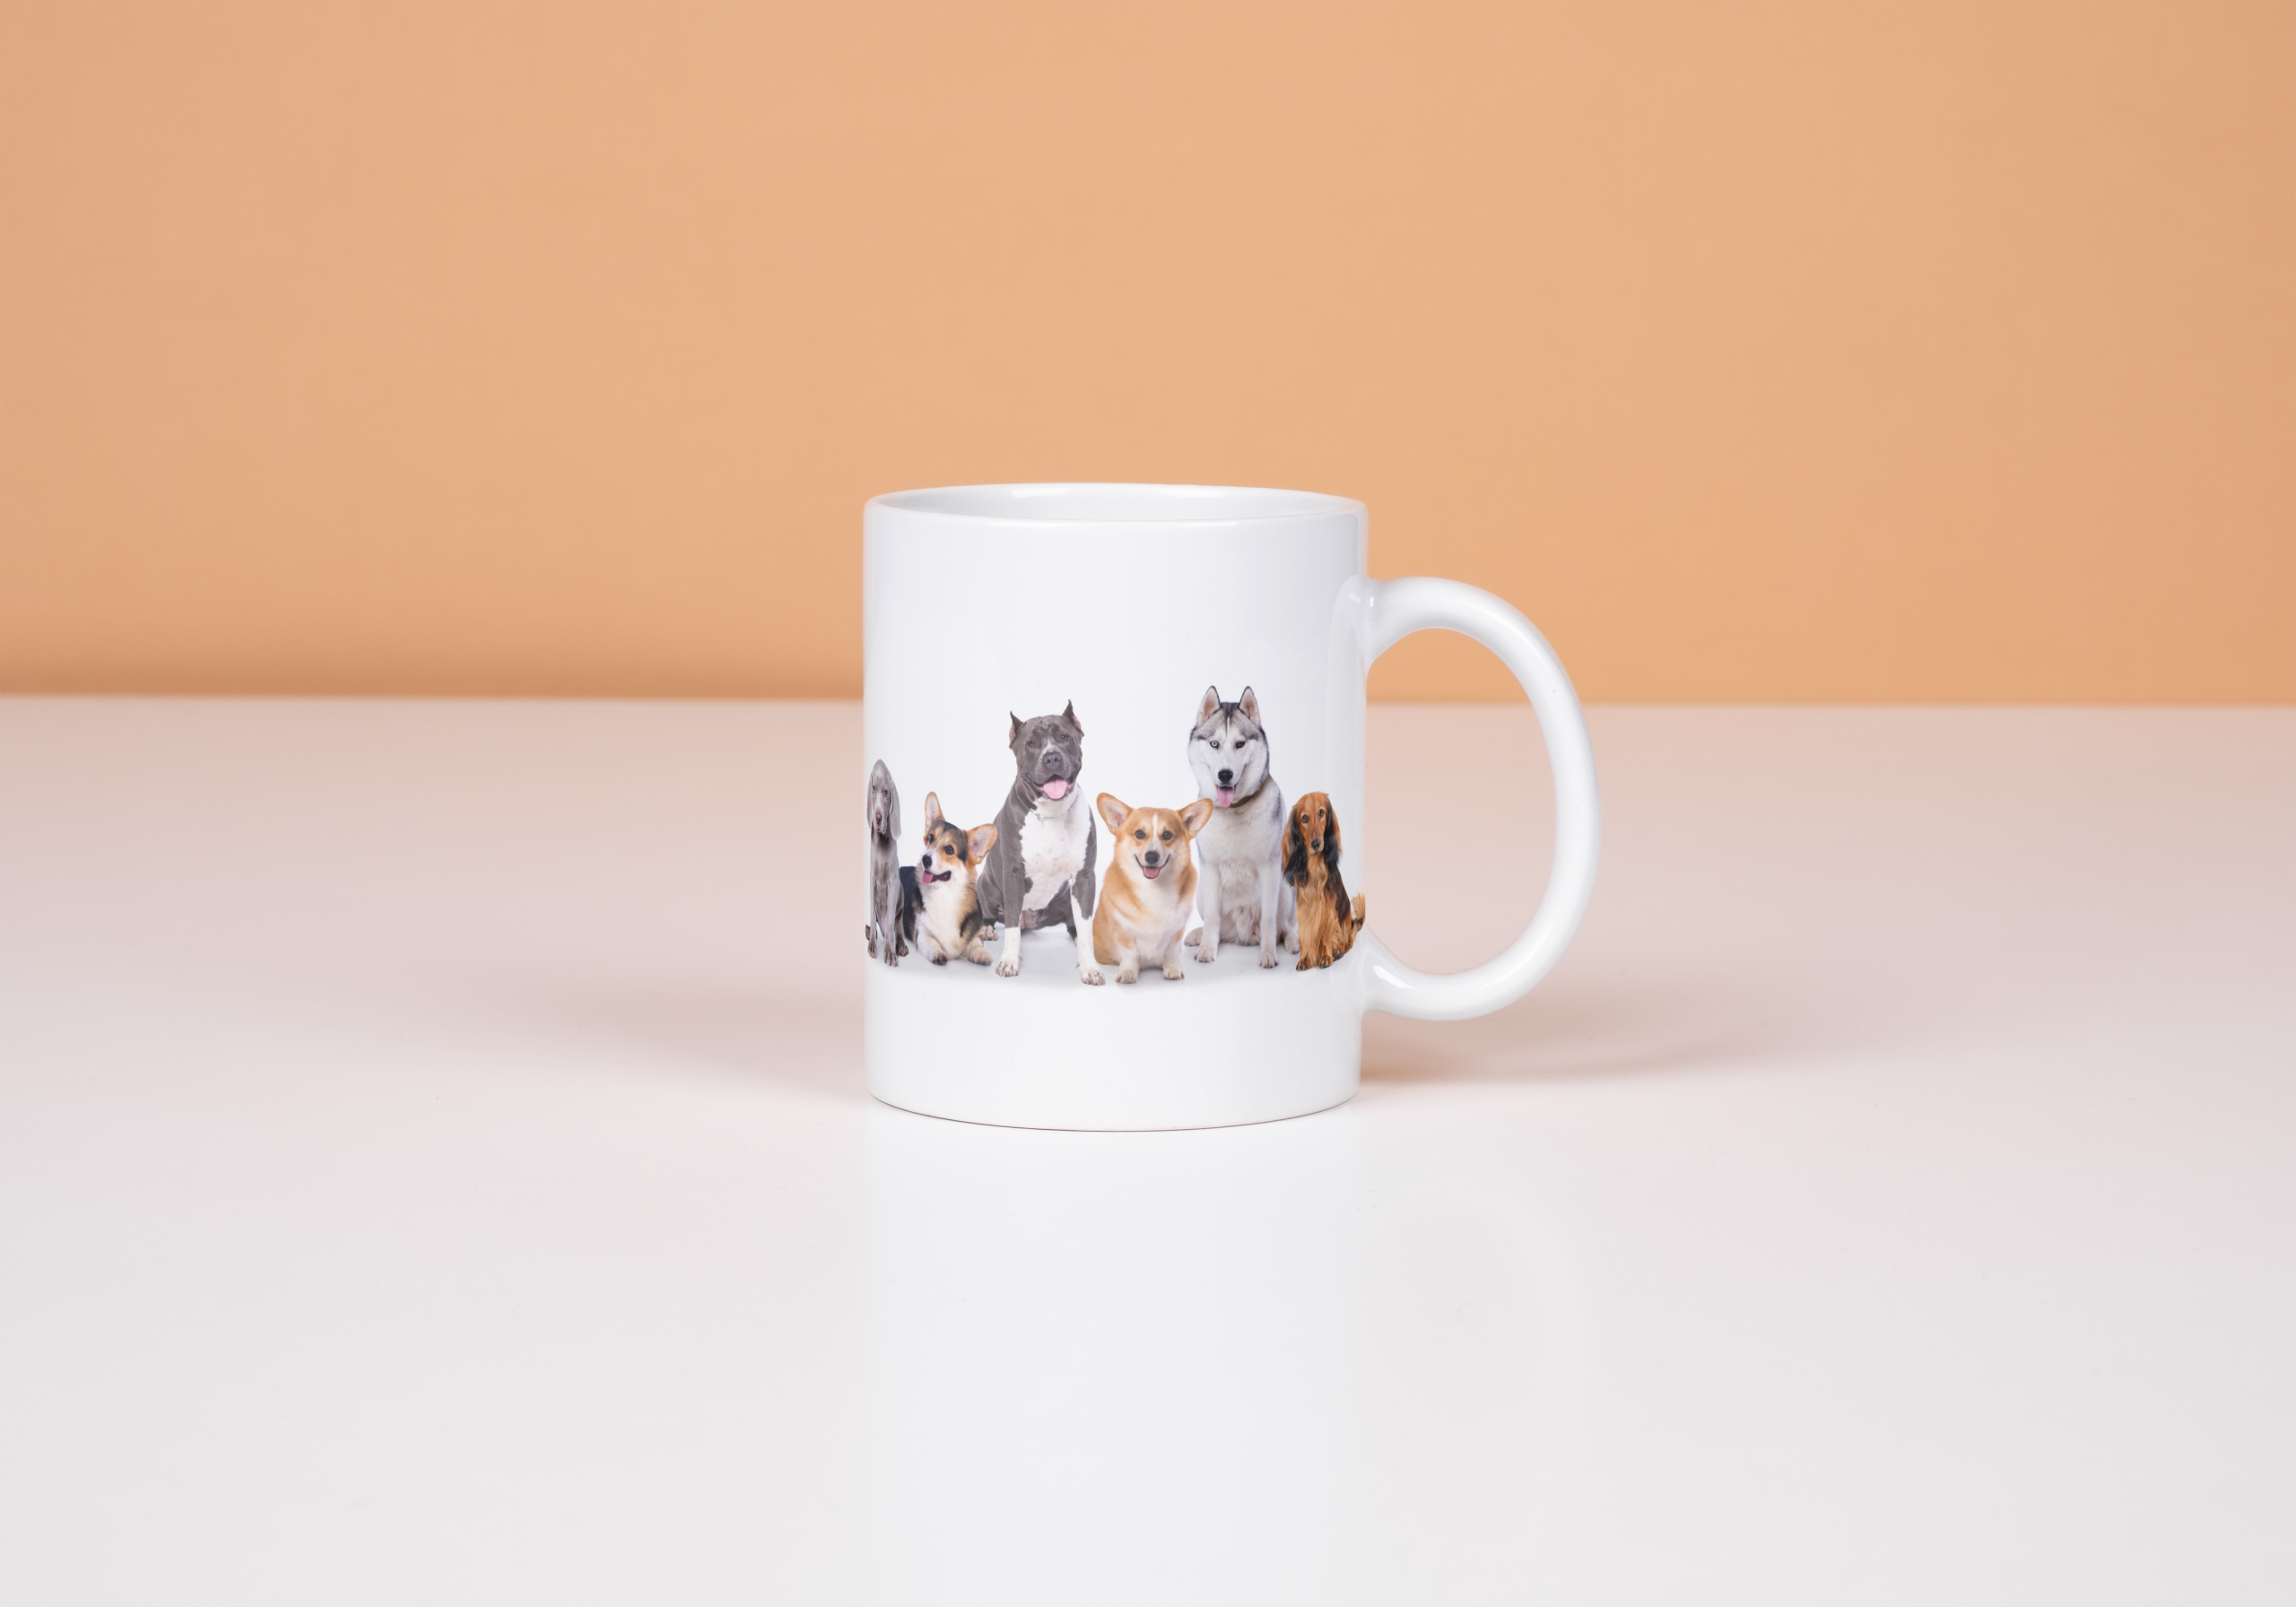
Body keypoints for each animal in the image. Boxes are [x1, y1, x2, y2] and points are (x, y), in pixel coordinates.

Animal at [913, 793, 998, 966]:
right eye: (931, 837)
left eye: (949, 849)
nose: (925, 859)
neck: (944, 895)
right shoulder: (920, 933)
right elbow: (931, 941)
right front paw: (938, 952)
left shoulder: (975, 935)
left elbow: (976, 943)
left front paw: (982, 954)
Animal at [979, 703, 1103, 985]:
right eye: (1032, 743)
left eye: (1064, 737)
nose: (1052, 757)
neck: (1050, 813)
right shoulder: (1013, 874)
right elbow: (1011, 926)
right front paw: (1009, 961)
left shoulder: (1084, 877)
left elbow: (1086, 926)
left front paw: (1090, 966)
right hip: (987, 889)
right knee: (992, 915)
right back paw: (987, 929)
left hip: (1066, 902)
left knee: (1074, 925)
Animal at [1093, 794, 1215, 982]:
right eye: (1139, 833)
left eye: (1167, 834)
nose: (1152, 856)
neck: (1154, 889)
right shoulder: (1123, 931)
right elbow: (1131, 953)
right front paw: (1128, 972)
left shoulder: (1177, 932)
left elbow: (1171, 952)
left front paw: (1172, 969)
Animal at [1184, 685, 1296, 967]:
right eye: (1214, 744)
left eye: (1240, 744)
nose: (1225, 775)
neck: (1233, 810)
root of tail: (1242, 936)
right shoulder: (1210, 869)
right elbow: (1213, 917)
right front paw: (1207, 949)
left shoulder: (1269, 868)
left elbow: (1269, 920)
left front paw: (1268, 954)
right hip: (1201, 890)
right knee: (1217, 926)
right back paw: (1198, 936)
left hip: (1285, 888)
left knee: (1286, 927)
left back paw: (1292, 942)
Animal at [1283, 792, 1365, 970]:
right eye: (1304, 818)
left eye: (1321, 812)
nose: (1316, 844)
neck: (1315, 869)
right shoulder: (1304, 910)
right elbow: (1305, 936)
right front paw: (1305, 958)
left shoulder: (1329, 910)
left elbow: (1327, 935)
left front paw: (1326, 956)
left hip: (1345, 920)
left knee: (1348, 941)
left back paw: (1338, 950)